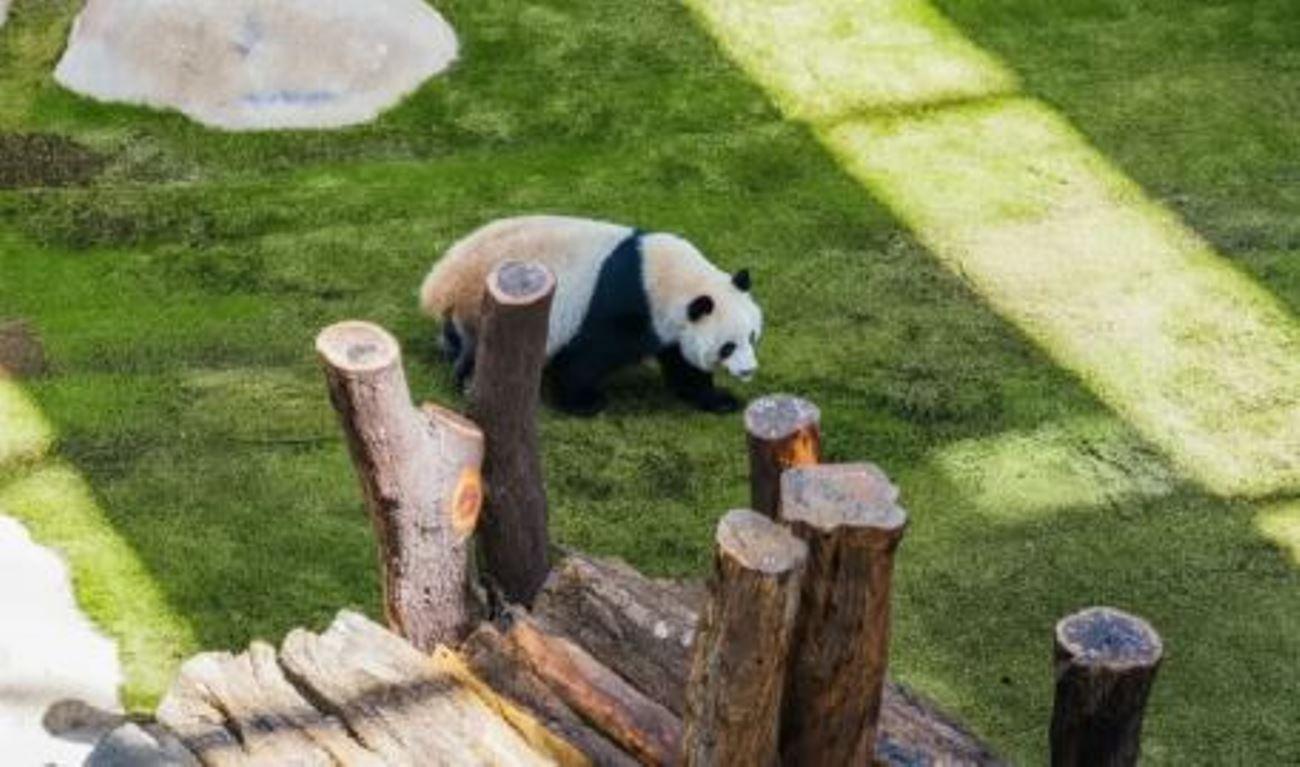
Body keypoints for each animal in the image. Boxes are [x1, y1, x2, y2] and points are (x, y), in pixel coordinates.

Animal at [419, 215, 763, 416]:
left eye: (752, 337)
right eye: (728, 346)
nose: (749, 370)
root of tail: (445, 279)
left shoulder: (670, 324)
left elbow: (683, 365)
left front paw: (719, 399)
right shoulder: (624, 304)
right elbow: (586, 357)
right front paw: (585, 402)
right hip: (486, 306)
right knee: (482, 350)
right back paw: (468, 383)